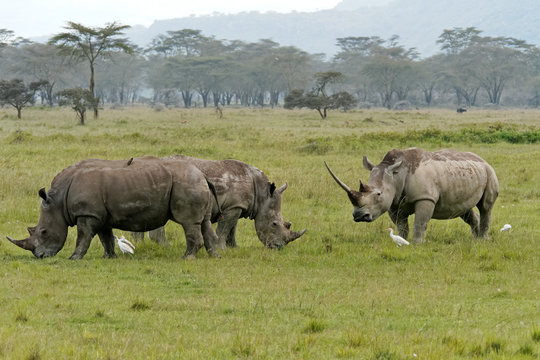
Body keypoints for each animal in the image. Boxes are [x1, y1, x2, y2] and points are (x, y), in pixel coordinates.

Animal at [6, 157, 221, 258]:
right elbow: (105, 237)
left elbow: (83, 237)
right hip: (193, 183)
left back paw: (187, 258)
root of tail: (202, 174)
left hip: (186, 183)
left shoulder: (87, 213)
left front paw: (74, 258)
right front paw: (109, 257)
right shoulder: (98, 214)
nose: (39, 256)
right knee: (204, 222)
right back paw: (214, 257)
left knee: (189, 223)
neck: (58, 201)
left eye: (43, 232)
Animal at [134, 156, 306, 249]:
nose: (278, 247)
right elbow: (224, 228)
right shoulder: (233, 206)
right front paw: (222, 248)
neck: (262, 195)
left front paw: (234, 247)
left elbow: (232, 228)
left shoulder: (237, 205)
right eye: (274, 224)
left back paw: (140, 245)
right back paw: (167, 246)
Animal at [324, 148, 498, 243]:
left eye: (378, 193)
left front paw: (417, 244)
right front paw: (402, 240)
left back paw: (483, 240)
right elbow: (401, 225)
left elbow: (420, 222)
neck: (396, 174)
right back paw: (474, 239)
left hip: (490, 172)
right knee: (464, 209)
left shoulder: (425, 197)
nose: (359, 216)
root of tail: (482, 159)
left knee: (486, 207)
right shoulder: (393, 202)